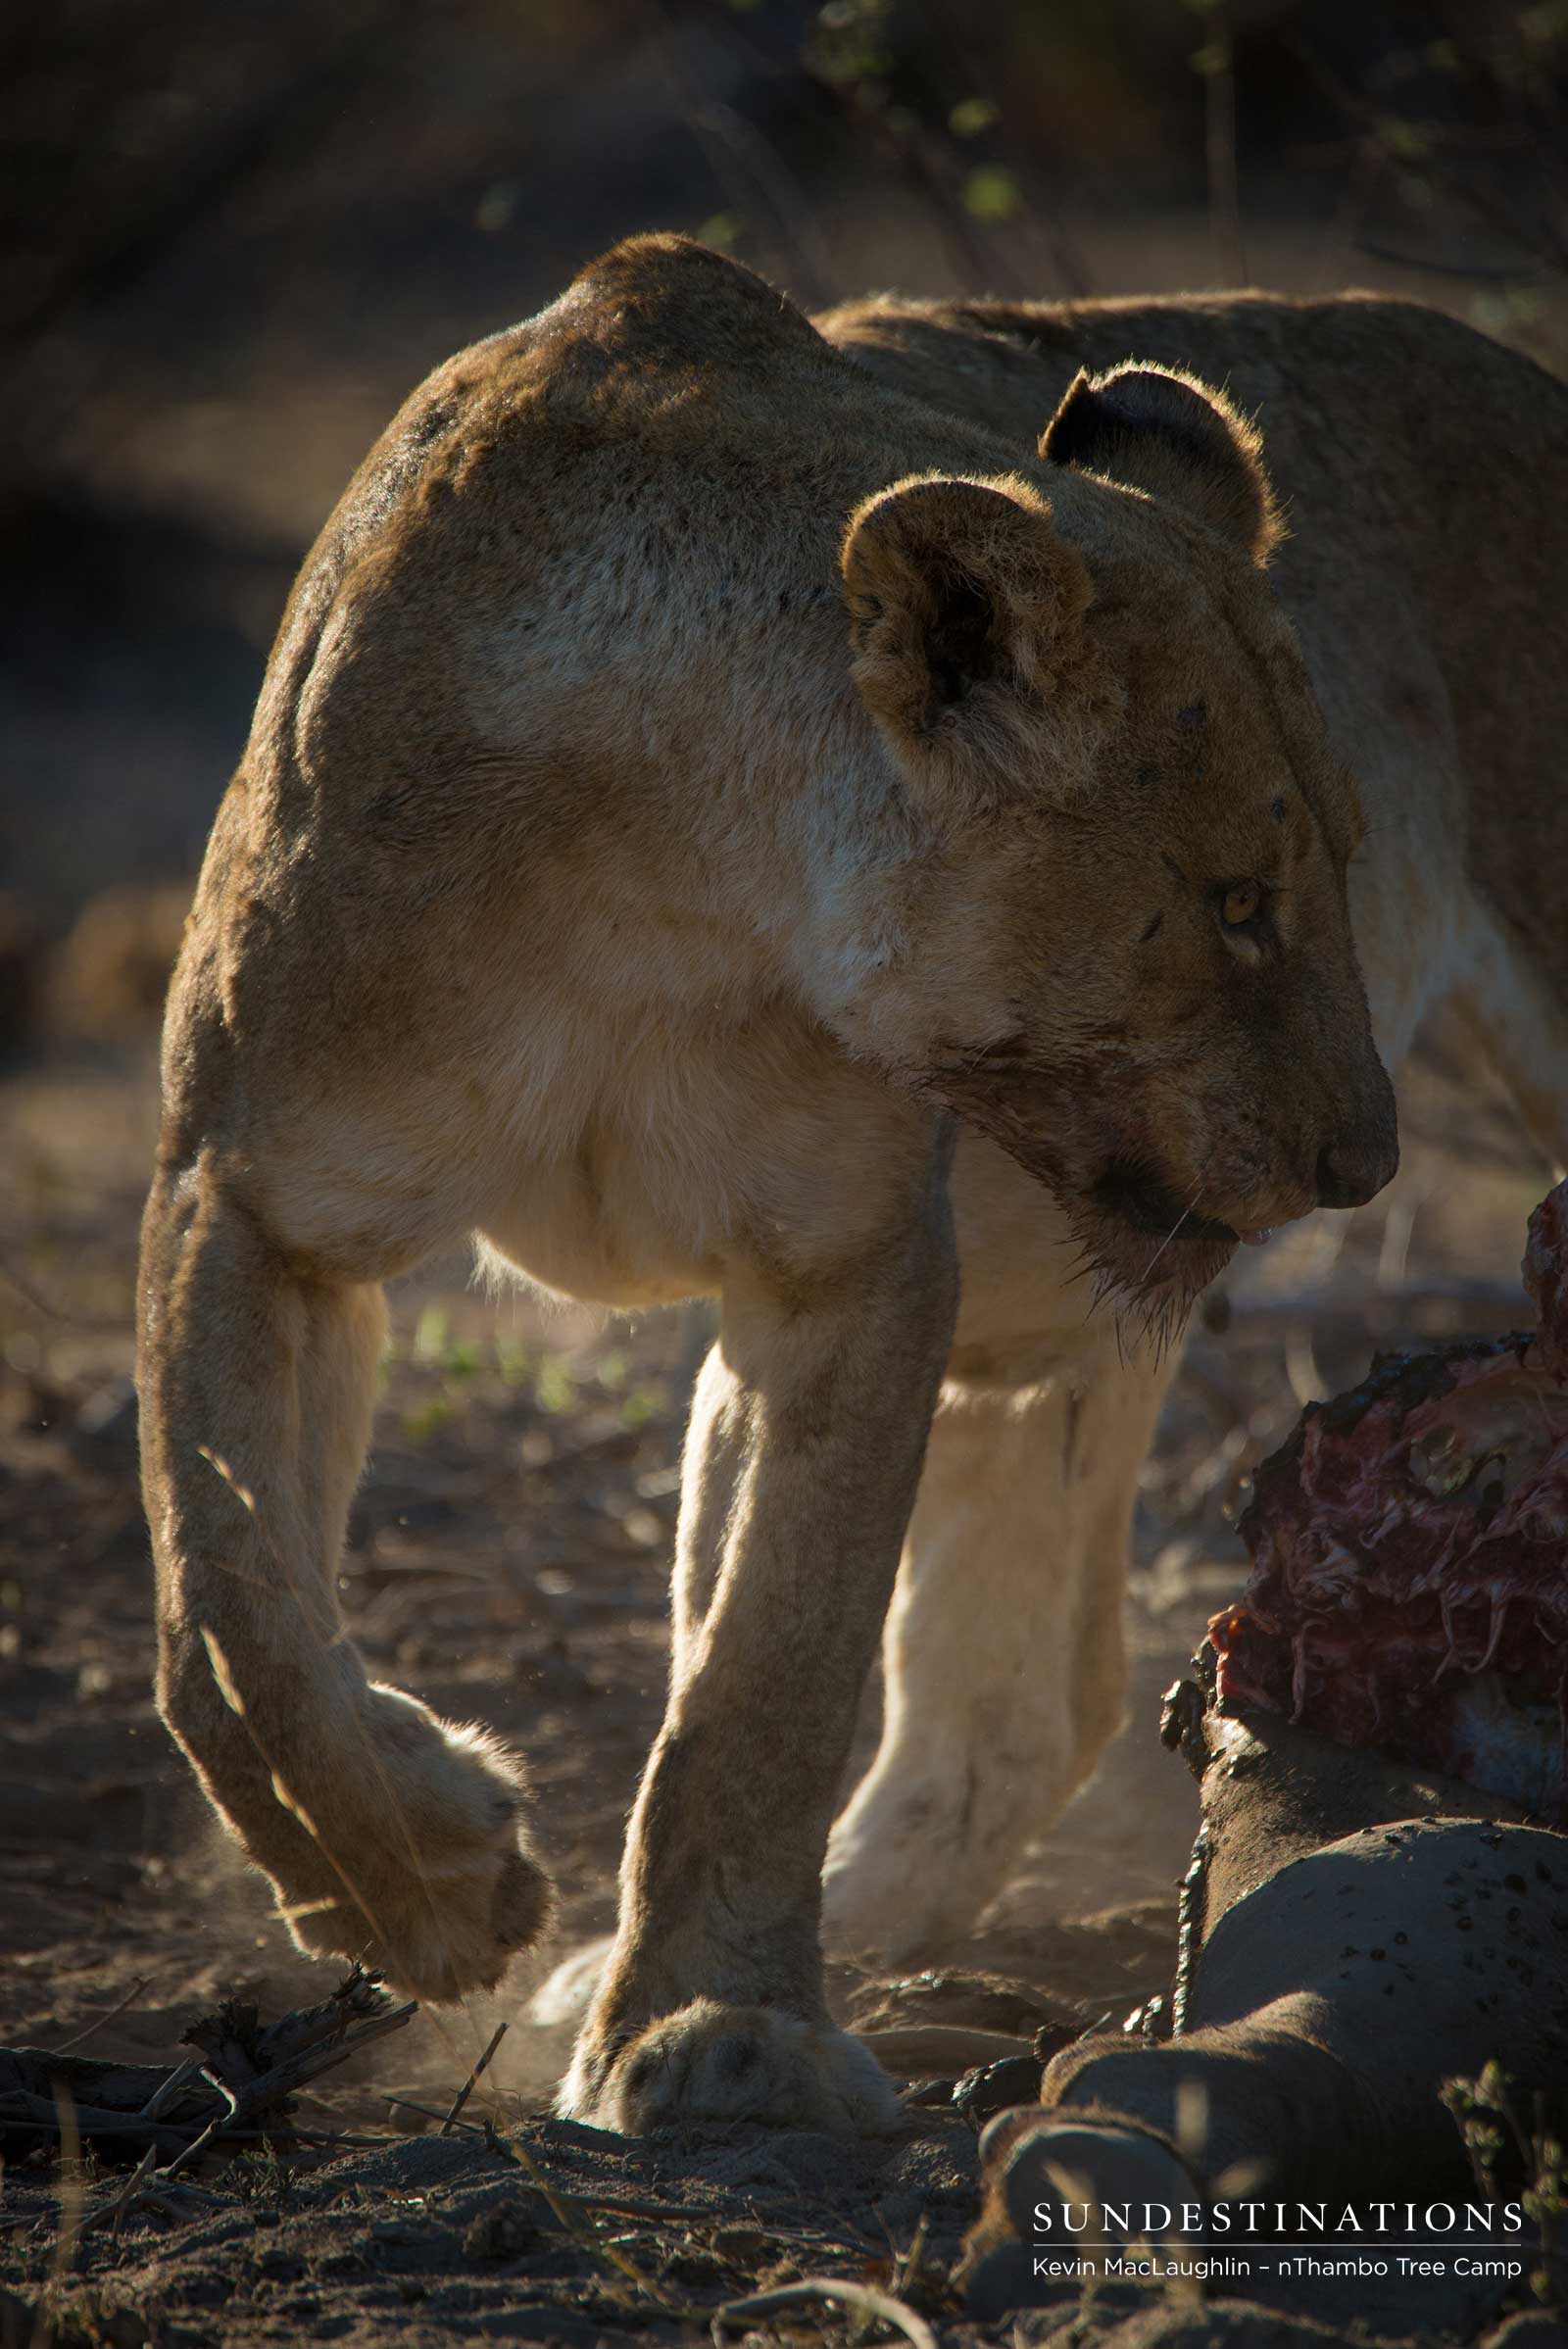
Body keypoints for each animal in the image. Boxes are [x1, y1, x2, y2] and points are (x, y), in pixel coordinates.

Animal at [137, 233, 1568, 2137]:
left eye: (1348, 858)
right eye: (1239, 900)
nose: (1365, 1163)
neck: (656, 883)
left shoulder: (855, 1261)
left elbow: (763, 1682)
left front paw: (710, 2022)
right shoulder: (248, 1193)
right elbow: (227, 1620)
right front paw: (435, 1889)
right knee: (1027, 1697)